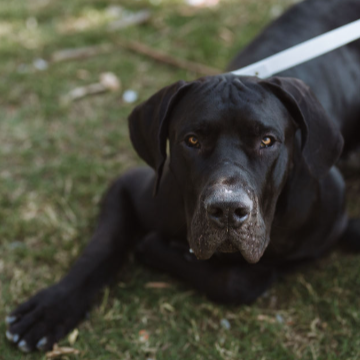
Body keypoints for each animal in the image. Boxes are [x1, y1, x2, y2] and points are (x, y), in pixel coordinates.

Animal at [5, 0, 360, 352]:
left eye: (267, 141)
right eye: (192, 140)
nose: (227, 210)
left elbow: (242, 280)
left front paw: (157, 248)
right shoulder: (129, 189)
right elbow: (101, 249)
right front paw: (53, 306)